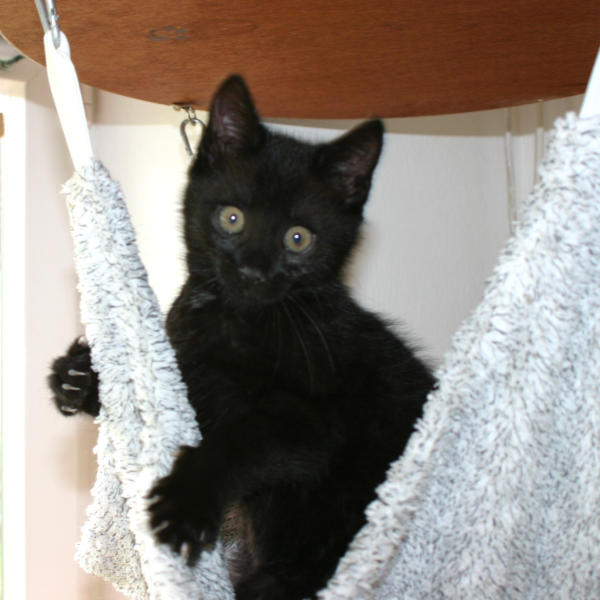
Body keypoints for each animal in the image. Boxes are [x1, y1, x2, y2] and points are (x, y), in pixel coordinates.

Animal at [49, 75, 435, 600]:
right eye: (232, 218)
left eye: (298, 238)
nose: (253, 271)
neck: (238, 322)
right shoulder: (190, 378)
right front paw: (79, 379)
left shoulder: (315, 421)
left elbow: (244, 442)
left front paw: (187, 500)